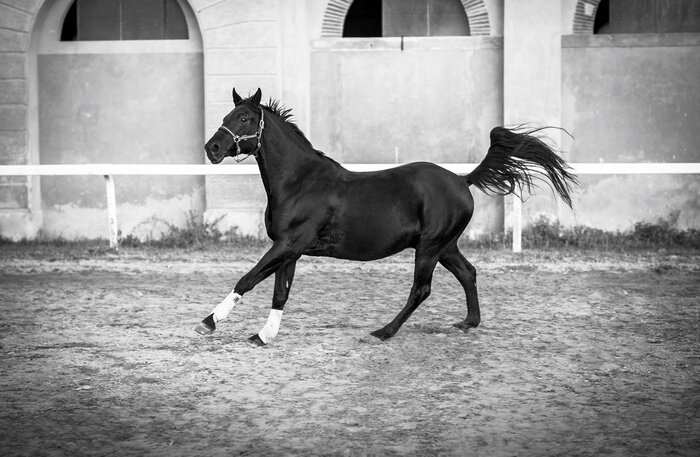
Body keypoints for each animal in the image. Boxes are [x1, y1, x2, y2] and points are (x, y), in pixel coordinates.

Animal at [195, 87, 578, 346]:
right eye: (225, 118)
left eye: (244, 118)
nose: (212, 148)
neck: (299, 182)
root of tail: (461, 179)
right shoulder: (289, 249)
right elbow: (279, 292)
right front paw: (263, 335)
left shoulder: (288, 244)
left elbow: (247, 279)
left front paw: (208, 322)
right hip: (445, 246)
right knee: (468, 273)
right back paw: (468, 323)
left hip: (429, 248)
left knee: (421, 289)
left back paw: (383, 331)